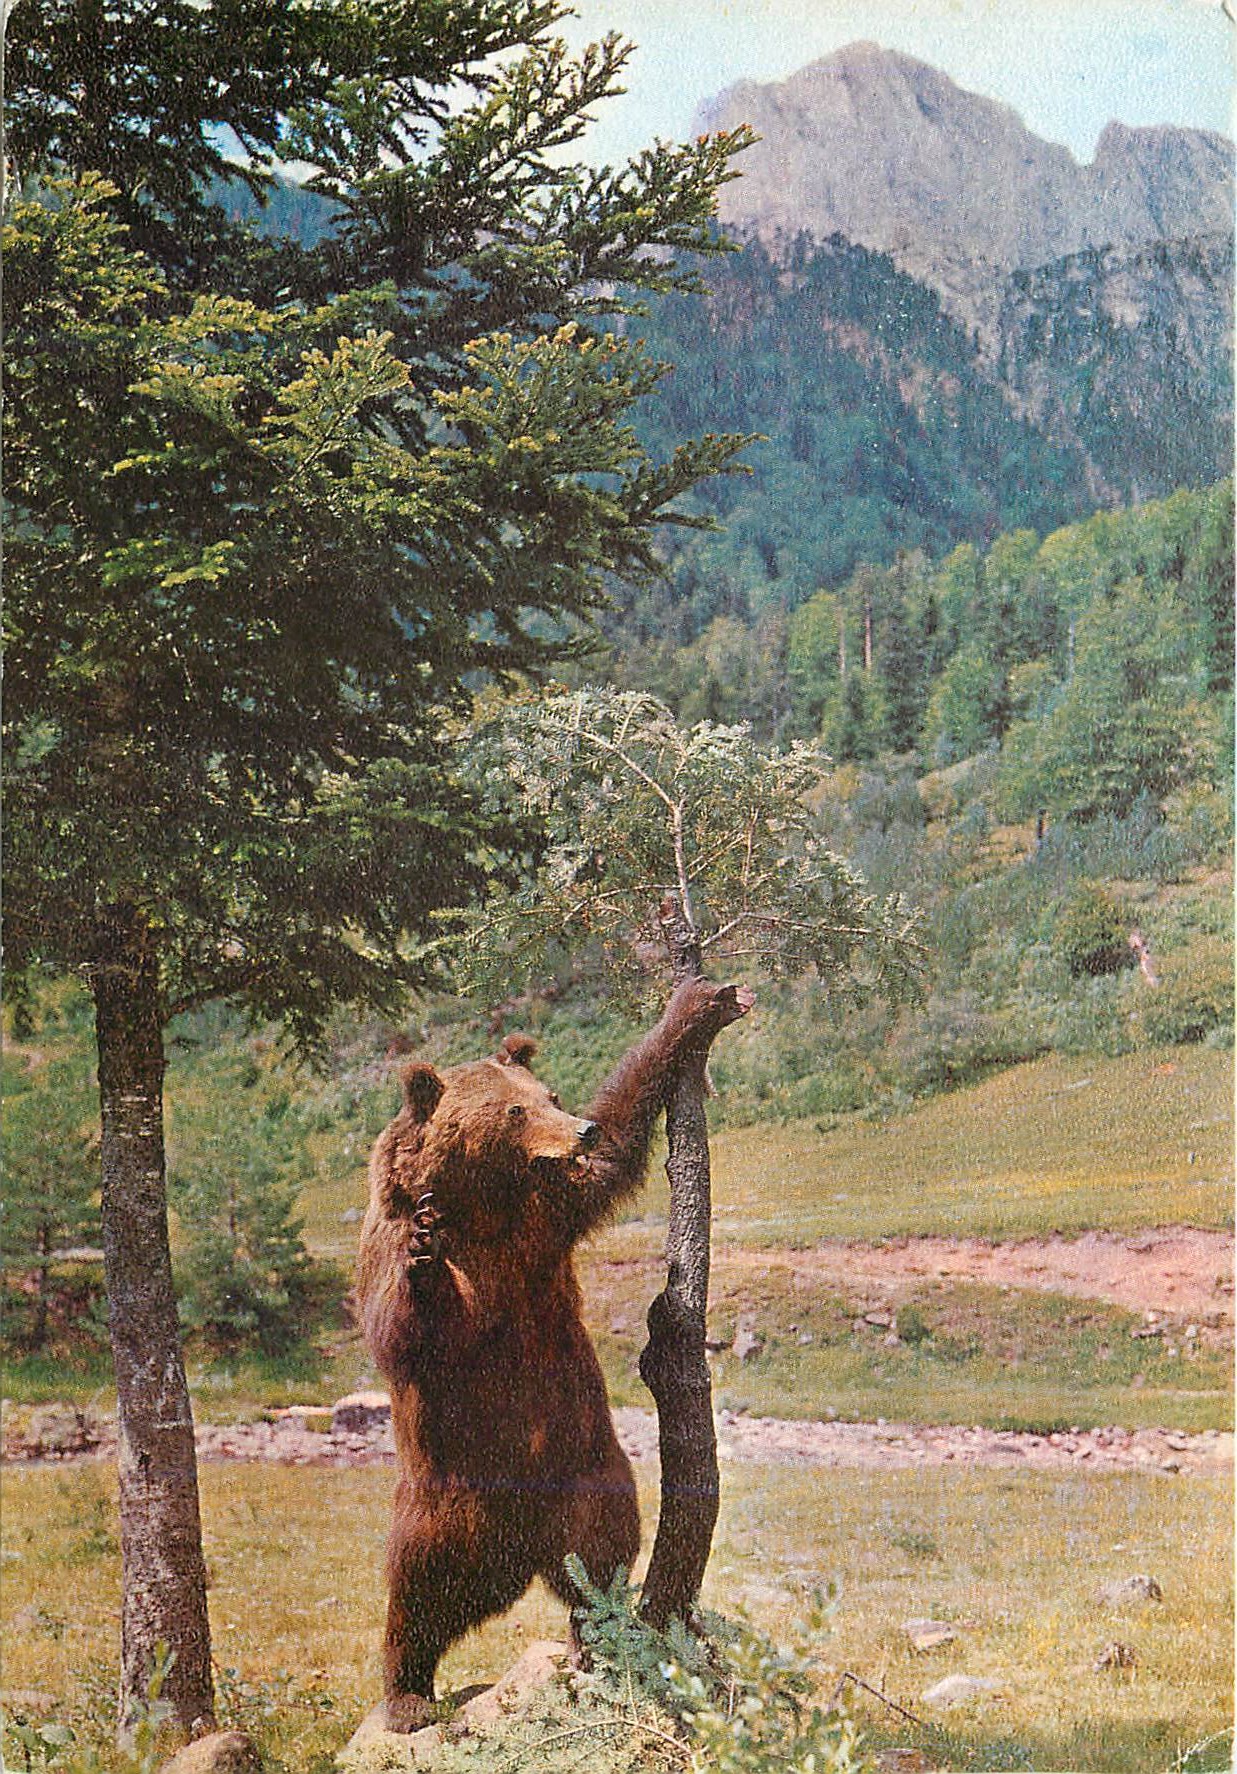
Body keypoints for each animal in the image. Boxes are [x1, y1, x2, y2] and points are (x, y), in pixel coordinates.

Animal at [354, 974, 753, 1730]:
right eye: (514, 1108)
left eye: (552, 1094)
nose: (577, 1129)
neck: (487, 1208)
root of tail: (516, 1550)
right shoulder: (394, 1233)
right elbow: (395, 1329)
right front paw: (425, 1260)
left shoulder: (547, 1218)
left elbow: (621, 1138)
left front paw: (697, 1008)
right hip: (442, 1501)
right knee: (416, 1593)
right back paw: (407, 1695)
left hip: (585, 1473)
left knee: (598, 1554)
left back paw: (593, 1630)